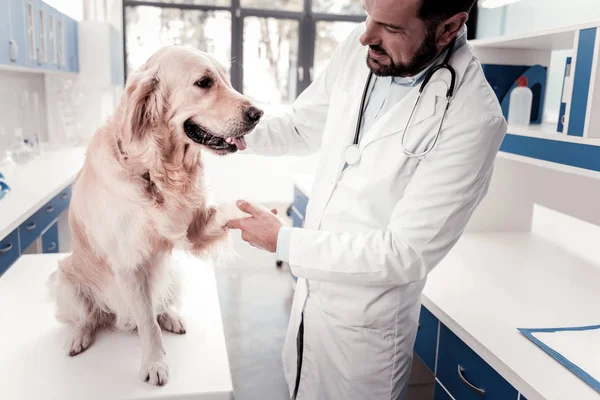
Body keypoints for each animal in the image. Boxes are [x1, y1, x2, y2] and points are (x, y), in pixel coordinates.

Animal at [48, 45, 262, 386]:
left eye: (227, 80)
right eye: (204, 83)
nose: (258, 114)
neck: (156, 168)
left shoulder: (192, 229)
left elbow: (221, 211)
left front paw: (252, 211)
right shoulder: (128, 264)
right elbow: (147, 324)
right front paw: (154, 364)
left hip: (173, 273)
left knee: (159, 305)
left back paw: (171, 318)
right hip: (66, 281)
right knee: (88, 317)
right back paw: (79, 336)